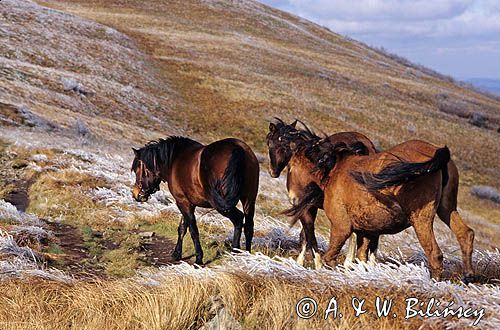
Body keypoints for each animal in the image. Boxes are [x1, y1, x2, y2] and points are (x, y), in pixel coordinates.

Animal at [131, 135, 260, 264]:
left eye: (137, 169)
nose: (136, 194)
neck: (174, 160)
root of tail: (237, 148)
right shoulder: (188, 203)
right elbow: (182, 227)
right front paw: (177, 253)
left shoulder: (182, 202)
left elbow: (193, 230)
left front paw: (198, 258)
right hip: (249, 199)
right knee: (249, 226)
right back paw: (247, 254)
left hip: (221, 204)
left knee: (238, 219)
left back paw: (235, 251)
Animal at [266, 118, 376, 268]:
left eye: (269, 142)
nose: (273, 172)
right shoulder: (312, 207)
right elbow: (305, 236)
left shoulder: (303, 206)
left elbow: (309, 235)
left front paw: (315, 264)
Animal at [292, 138, 476, 282]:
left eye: (292, 167)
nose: (295, 198)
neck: (334, 169)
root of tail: (437, 151)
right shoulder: (367, 232)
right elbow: (362, 258)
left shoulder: (341, 227)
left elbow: (330, 257)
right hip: (447, 209)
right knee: (465, 233)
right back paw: (468, 275)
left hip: (420, 220)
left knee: (435, 254)